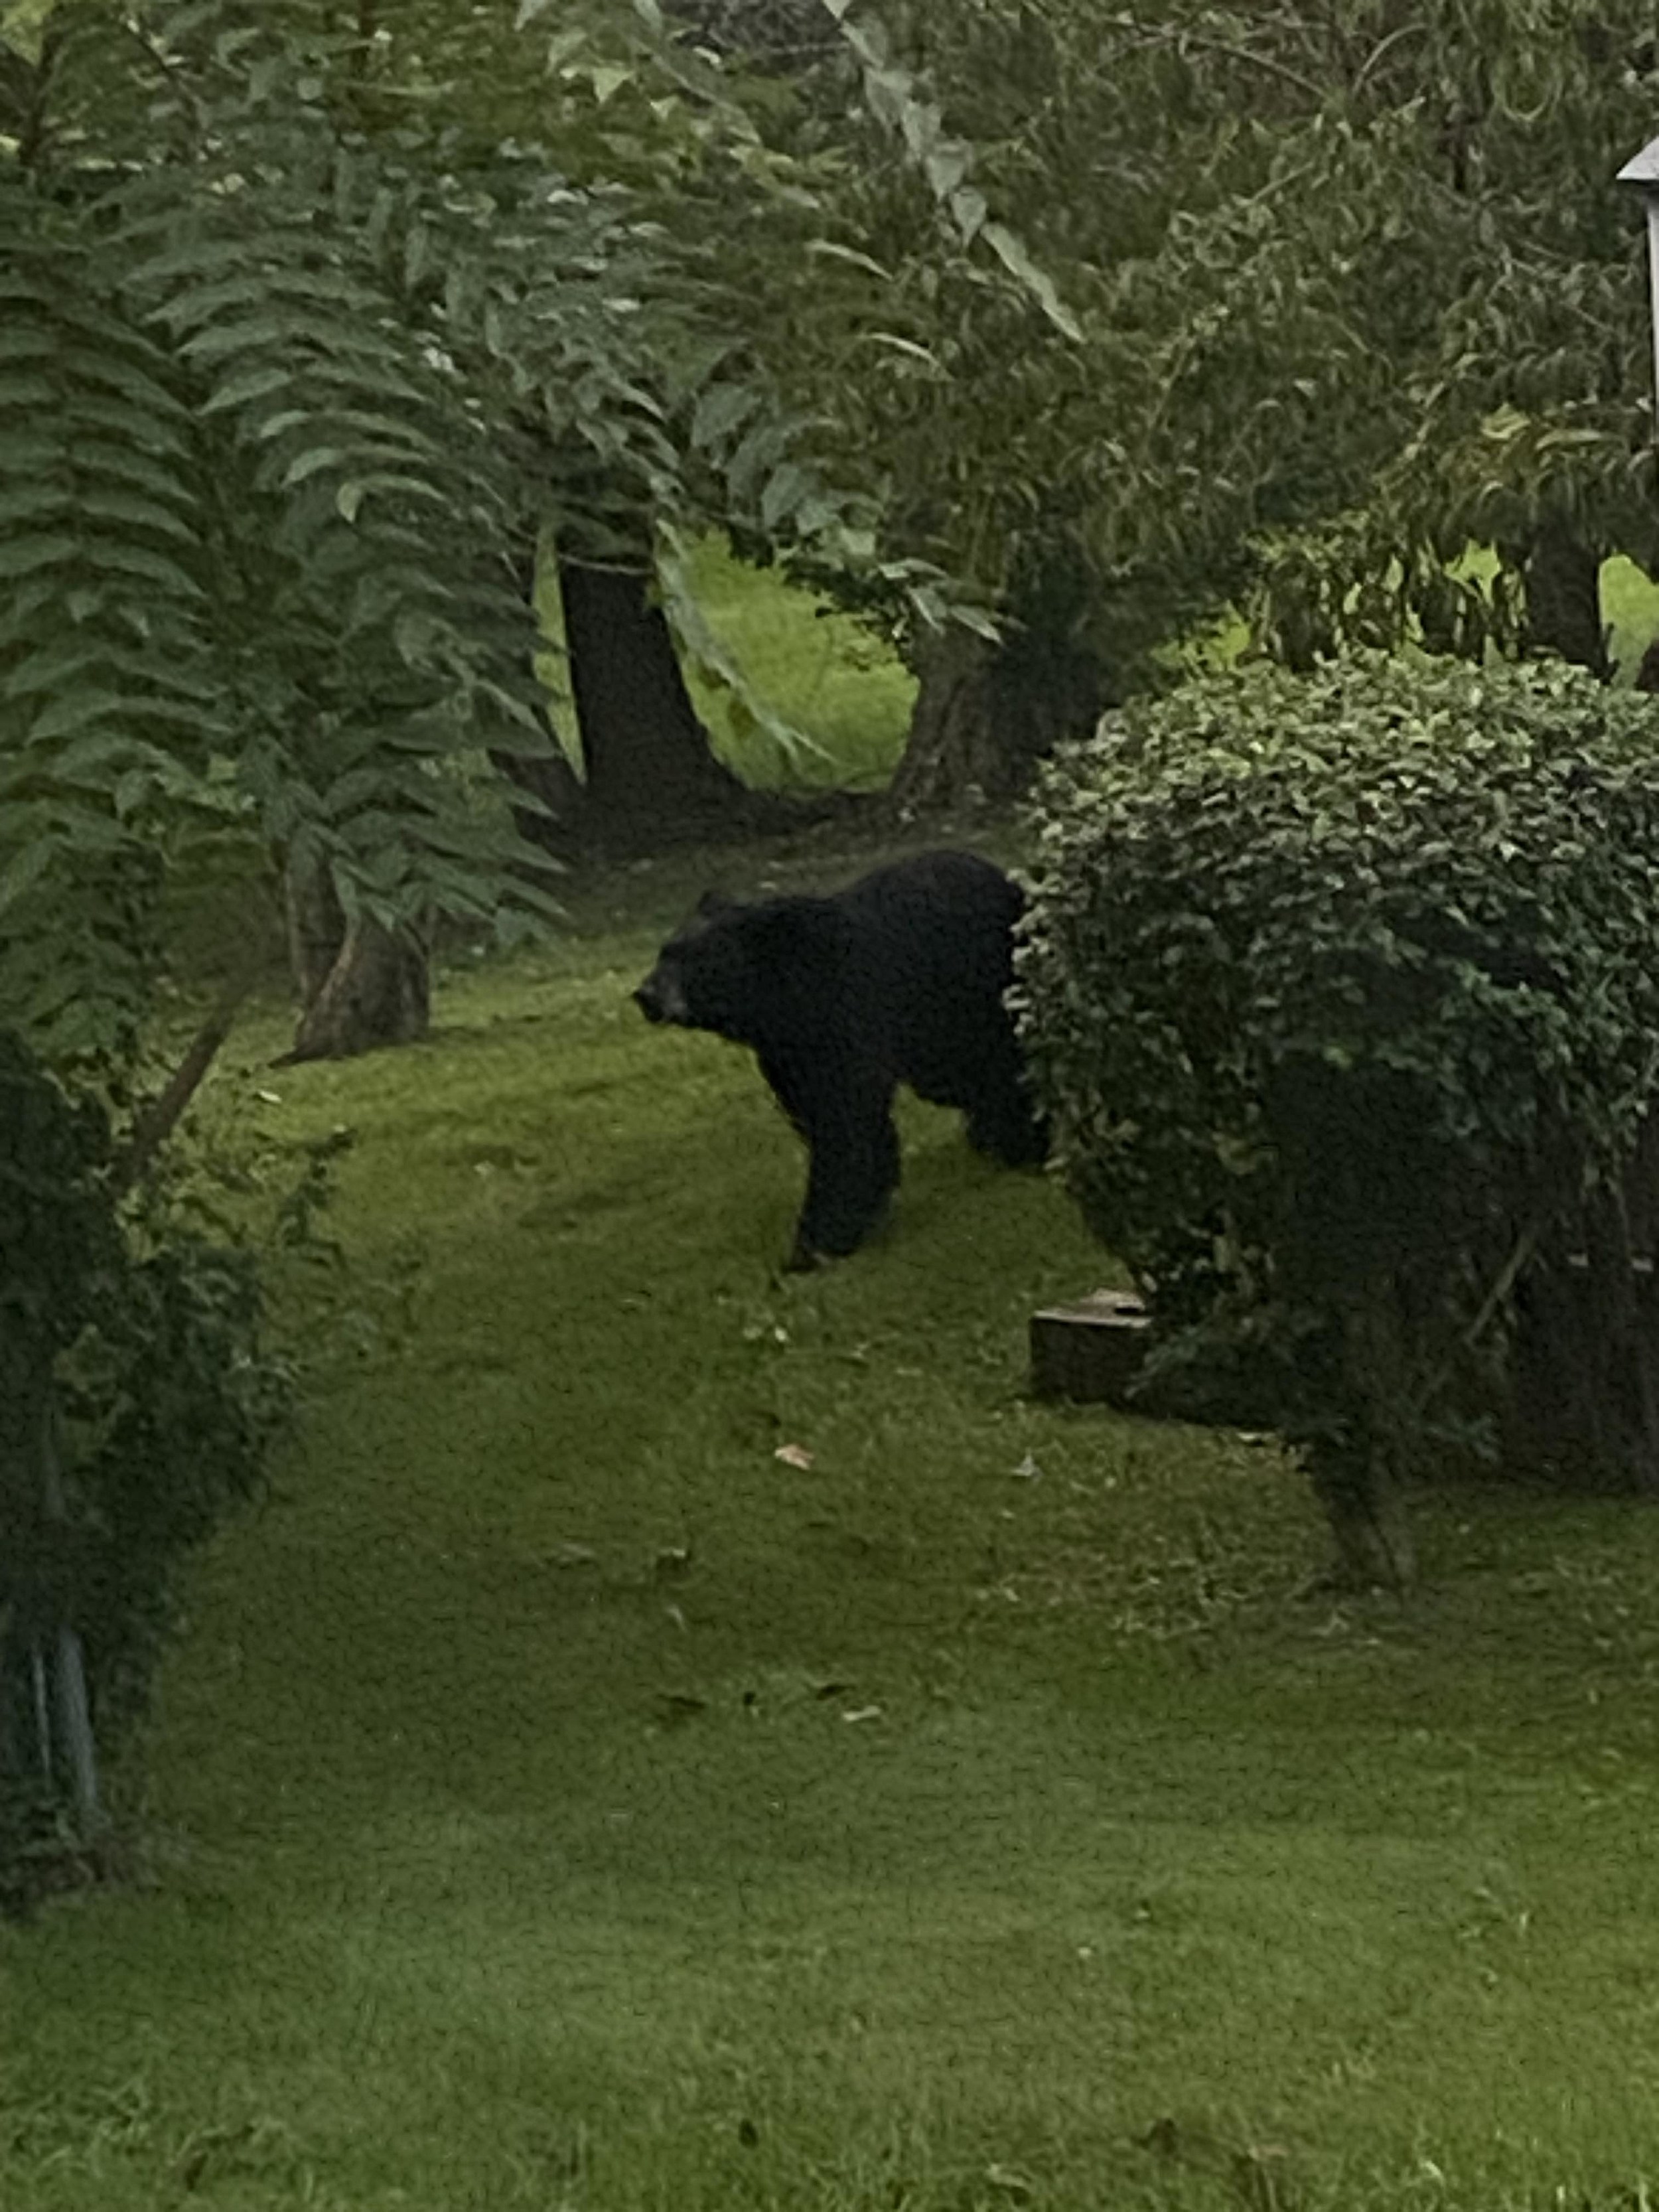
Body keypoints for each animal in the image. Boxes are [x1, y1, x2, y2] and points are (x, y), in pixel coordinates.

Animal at [628, 845, 1044, 1265]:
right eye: (663, 953)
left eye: (692, 959)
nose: (645, 995)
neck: (778, 1000)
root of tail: (1001, 876)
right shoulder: (786, 1054)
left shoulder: (839, 1019)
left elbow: (842, 1123)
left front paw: (816, 1243)